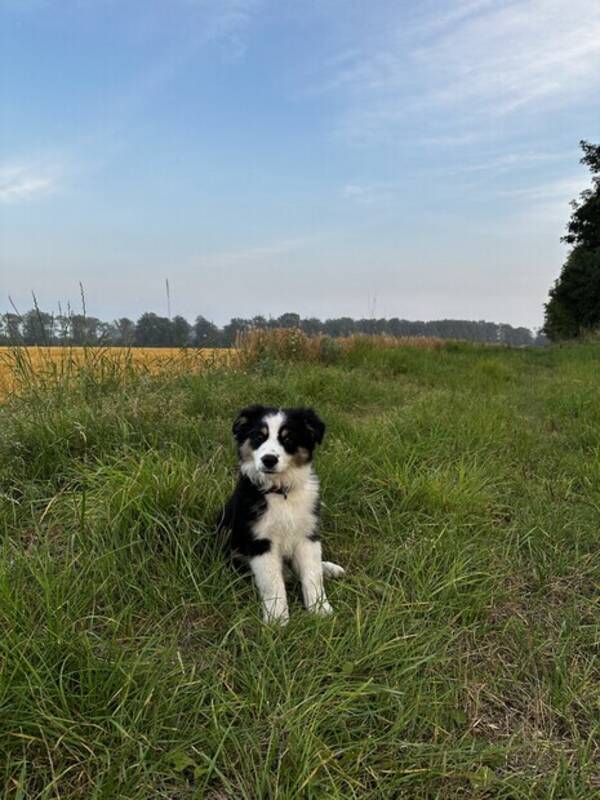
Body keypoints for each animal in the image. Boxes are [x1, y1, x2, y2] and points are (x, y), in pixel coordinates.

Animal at [218, 406, 344, 624]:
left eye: (288, 438)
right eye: (259, 436)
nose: (269, 460)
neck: (281, 491)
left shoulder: (307, 535)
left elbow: (312, 575)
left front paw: (320, 609)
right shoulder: (260, 541)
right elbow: (272, 583)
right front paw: (277, 619)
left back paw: (328, 568)